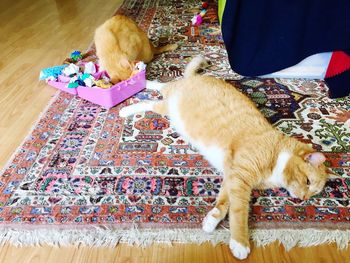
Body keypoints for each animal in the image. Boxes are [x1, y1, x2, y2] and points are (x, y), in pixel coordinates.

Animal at [118, 56, 334, 260]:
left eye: (314, 193)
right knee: (155, 94)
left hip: (168, 106)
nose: (304, 199)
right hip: (170, 102)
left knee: (158, 95)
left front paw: (211, 220)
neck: (277, 156)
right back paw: (131, 99)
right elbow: (239, 213)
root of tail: (198, 78)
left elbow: (223, 202)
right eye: (308, 181)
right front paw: (240, 243)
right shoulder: (240, 180)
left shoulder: (233, 176)